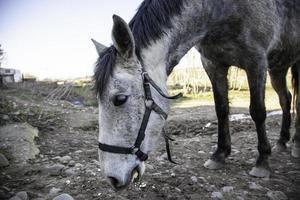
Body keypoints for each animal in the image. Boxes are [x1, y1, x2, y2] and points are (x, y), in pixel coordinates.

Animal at [91, 0, 300, 191]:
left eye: (120, 99)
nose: (112, 178)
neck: (221, 11)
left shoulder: (256, 61)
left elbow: (257, 112)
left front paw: (262, 161)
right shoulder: (213, 64)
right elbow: (221, 110)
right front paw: (219, 154)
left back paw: (296, 145)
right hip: (278, 68)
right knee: (286, 99)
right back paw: (282, 141)